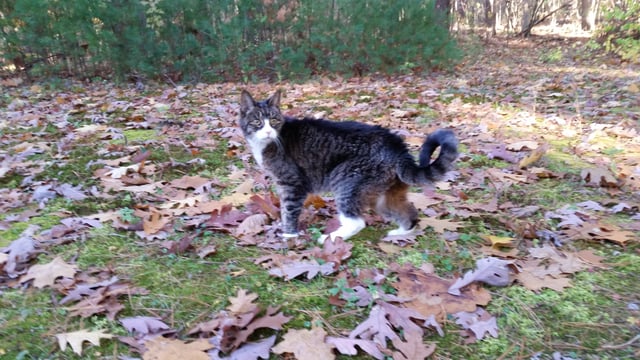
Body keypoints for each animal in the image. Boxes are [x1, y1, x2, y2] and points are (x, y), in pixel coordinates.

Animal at [238, 88, 458, 243]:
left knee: (357, 222)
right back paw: (400, 232)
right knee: (409, 212)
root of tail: (396, 145)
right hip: (383, 194)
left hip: (347, 181)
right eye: (257, 122)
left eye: (274, 121)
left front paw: (289, 236)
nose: (268, 131)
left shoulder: (292, 184)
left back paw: (330, 238)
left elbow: (289, 211)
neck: (270, 142)